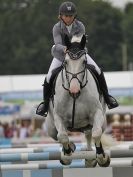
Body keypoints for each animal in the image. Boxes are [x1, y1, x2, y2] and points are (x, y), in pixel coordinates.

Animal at [44, 34, 110, 167]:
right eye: (65, 62)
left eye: (84, 62)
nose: (74, 89)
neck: (75, 96)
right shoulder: (58, 116)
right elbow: (62, 136)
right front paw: (67, 154)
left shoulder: (97, 113)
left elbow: (96, 133)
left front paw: (102, 157)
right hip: (50, 127)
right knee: (57, 135)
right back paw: (72, 148)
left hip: (100, 123)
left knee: (90, 133)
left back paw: (90, 157)